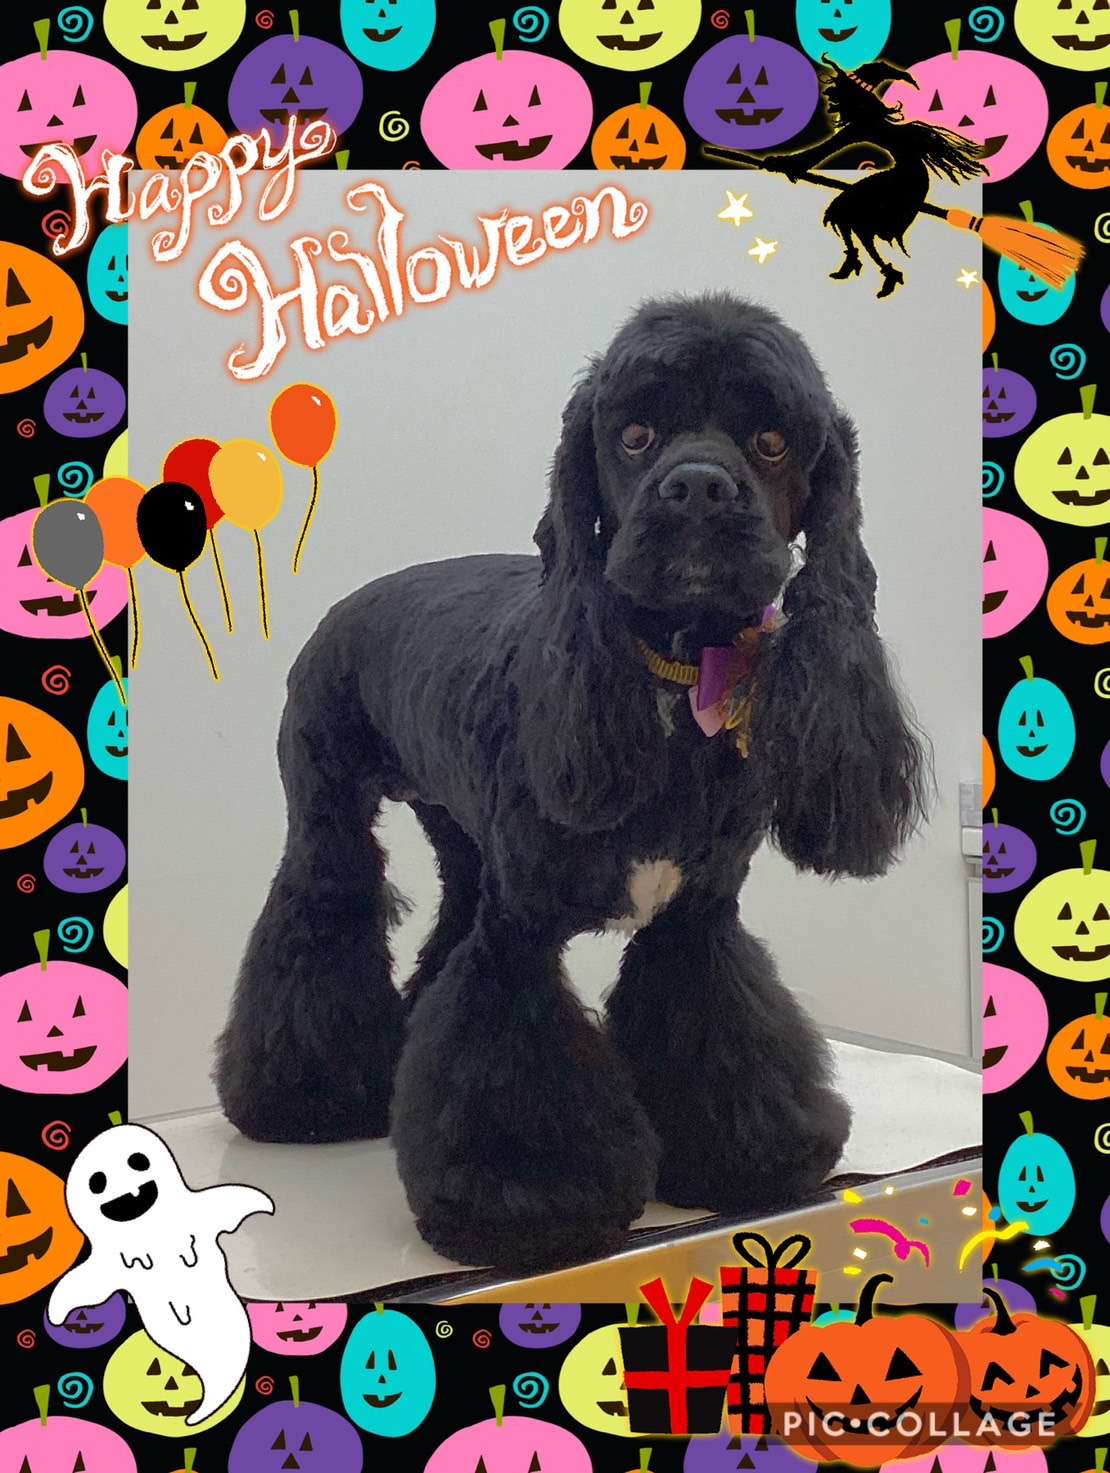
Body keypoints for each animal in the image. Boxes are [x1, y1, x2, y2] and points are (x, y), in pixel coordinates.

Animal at [215, 292, 929, 1271]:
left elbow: (718, 1025)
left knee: (446, 929)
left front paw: (750, 1155)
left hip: (460, 831)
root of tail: (352, 599)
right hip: (326, 806)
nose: (697, 487)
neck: (675, 681)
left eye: (773, 440)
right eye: (632, 434)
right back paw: (310, 1095)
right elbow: (513, 1061)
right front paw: (529, 1200)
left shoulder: (695, 918)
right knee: (317, 916)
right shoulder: (518, 936)